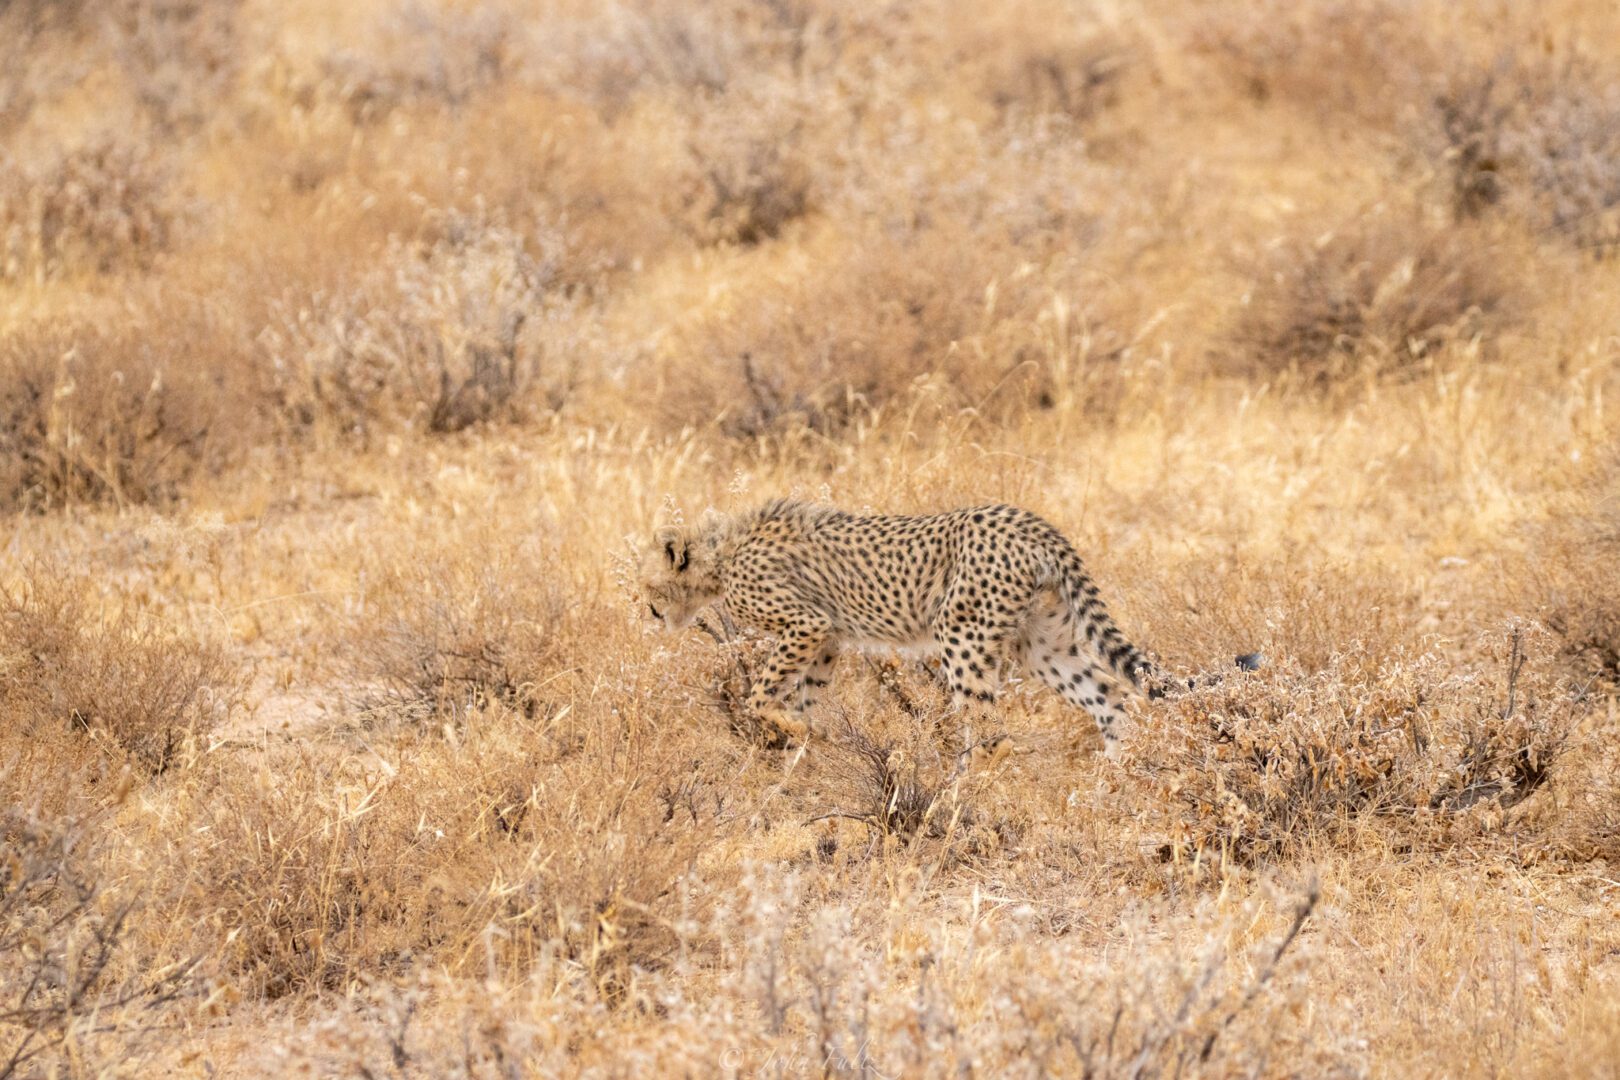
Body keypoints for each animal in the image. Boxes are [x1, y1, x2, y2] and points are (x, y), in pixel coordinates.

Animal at [638, 501, 1185, 761]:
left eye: (648, 583)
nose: (647, 610)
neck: (721, 555)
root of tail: (1028, 520)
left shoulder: (806, 623)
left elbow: (758, 697)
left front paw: (795, 733)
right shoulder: (827, 638)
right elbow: (805, 699)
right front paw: (805, 752)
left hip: (961, 633)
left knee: (992, 735)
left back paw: (961, 798)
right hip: (1041, 645)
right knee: (1108, 696)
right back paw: (1110, 780)